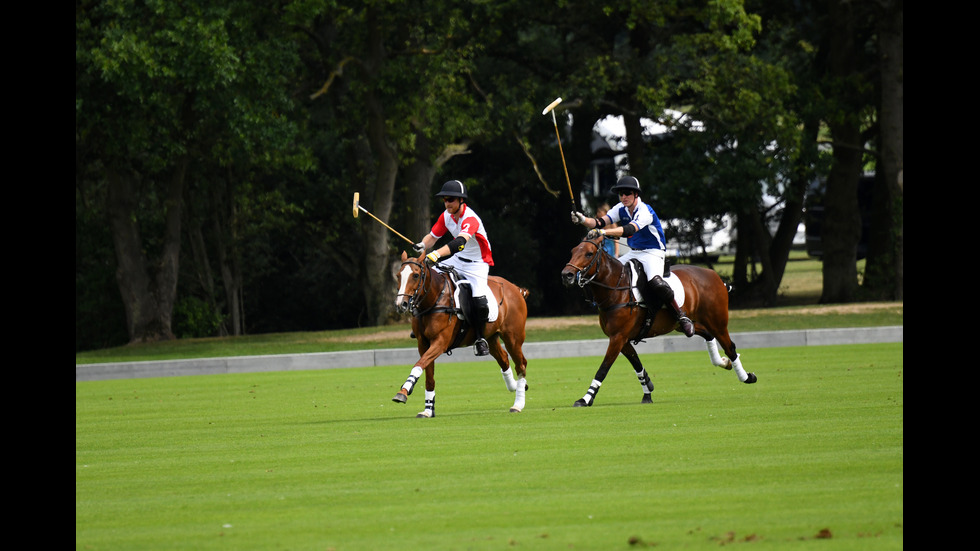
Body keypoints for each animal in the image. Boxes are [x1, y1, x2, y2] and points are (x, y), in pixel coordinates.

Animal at [392, 251, 532, 418]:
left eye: (415, 275)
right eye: (398, 275)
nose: (401, 305)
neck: (434, 299)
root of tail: (516, 289)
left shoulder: (440, 342)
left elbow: (419, 365)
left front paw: (403, 392)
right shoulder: (423, 343)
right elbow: (428, 375)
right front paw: (428, 409)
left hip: (513, 337)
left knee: (521, 364)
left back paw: (518, 404)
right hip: (491, 338)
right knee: (504, 359)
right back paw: (515, 386)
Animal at [560, 235, 756, 408]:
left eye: (589, 253)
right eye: (573, 251)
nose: (566, 275)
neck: (616, 289)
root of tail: (715, 276)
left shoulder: (618, 337)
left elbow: (603, 368)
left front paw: (585, 399)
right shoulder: (621, 339)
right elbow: (636, 363)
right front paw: (647, 390)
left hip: (718, 320)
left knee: (730, 346)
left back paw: (746, 377)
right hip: (682, 324)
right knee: (702, 332)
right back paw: (723, 362)